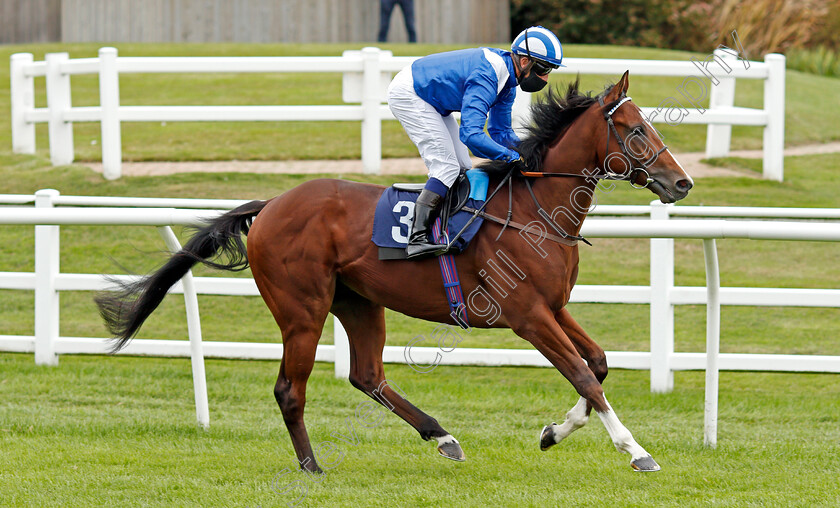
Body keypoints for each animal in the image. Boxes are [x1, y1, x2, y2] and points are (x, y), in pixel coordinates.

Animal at [95, 71, 692, 472]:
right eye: (635, 130)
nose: (681, 183)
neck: (534, 210)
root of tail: (271, 205)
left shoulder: (554, 307)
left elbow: (598, 364)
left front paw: (553, 431)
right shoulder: (528, 315)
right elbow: (585, 375)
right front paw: (636, 451)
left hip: (358, 302)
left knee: (367, 374)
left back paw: (442, 436)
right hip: (303, 309)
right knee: (291, 389)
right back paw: (312, 466)